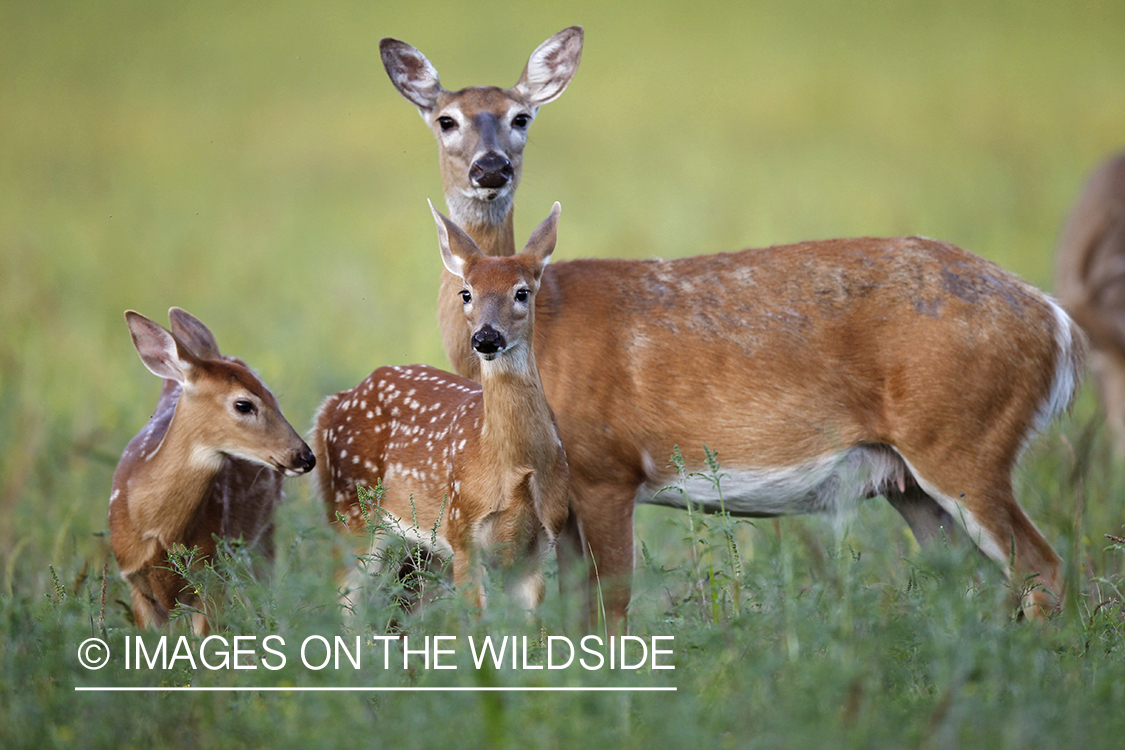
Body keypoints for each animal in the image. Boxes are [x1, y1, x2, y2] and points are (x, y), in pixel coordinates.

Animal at [109, 310, 315, 634]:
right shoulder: (136, 583)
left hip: (261, 536)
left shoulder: (212, 573)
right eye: (243, 404)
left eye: (273, 397)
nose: (305, 457)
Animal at [312, 203, 567, 611]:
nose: (486, 337)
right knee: (344, 600)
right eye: (466, 293)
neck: (515, 465)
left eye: (522, 292)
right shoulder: (463, 531)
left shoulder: (537, 549)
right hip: (351, 510)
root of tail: (334, 403)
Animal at [382, 27, 1084, 629]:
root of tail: (1055, 320)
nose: (491, 167)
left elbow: (611, 608)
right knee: (974, 582)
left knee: (1042, 567)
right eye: (446, 119)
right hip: (909, 478)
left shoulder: (606, 467)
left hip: (964, 442)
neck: (547, 318)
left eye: (521, 116)